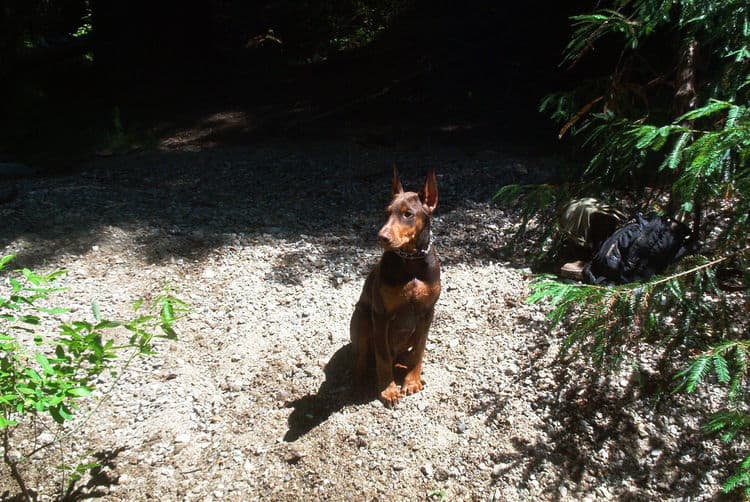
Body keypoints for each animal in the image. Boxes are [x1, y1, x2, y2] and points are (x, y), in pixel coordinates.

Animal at [352, 168, 440, 408]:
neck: (410, 261)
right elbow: (382, 356)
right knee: (363, 357)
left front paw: (412, 380)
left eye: (407, 214)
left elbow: (420, 348)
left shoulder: (427, 312)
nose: (381, 237)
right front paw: (388, 390)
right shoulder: (381, 315)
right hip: (362, 319)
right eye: (386, 212)